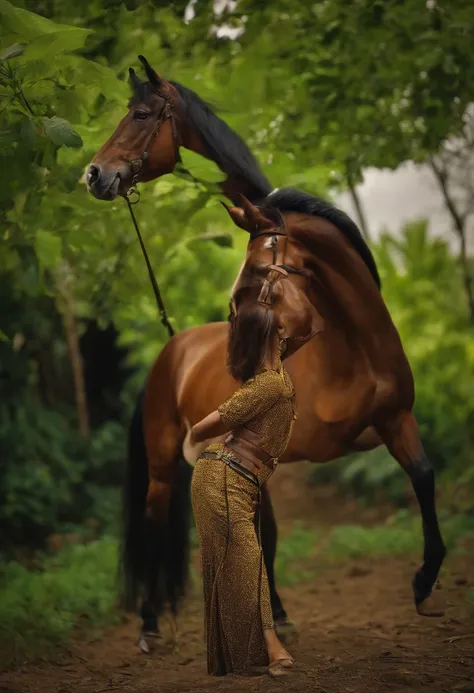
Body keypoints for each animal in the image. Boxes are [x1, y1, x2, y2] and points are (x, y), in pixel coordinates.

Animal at [89, 56, 444, 648]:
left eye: (139, 114)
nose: (95, 174)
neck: (350, 345)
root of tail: (170, 348)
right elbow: (261, 532)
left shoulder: (397, 420)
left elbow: (423, 477)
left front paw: (424, 582)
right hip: (163, 464)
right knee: (156, 520)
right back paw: (150, 625)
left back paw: (271, 612)